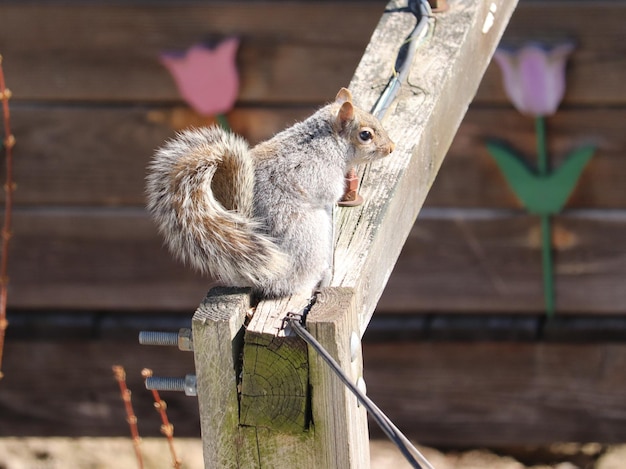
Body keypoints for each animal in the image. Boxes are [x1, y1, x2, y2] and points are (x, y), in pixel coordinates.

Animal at [144, 88, 392, 298]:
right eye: (365, 135)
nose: (391, 148)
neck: (327, 140)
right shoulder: (317, 171)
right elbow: (329, 192)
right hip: (310, 235)